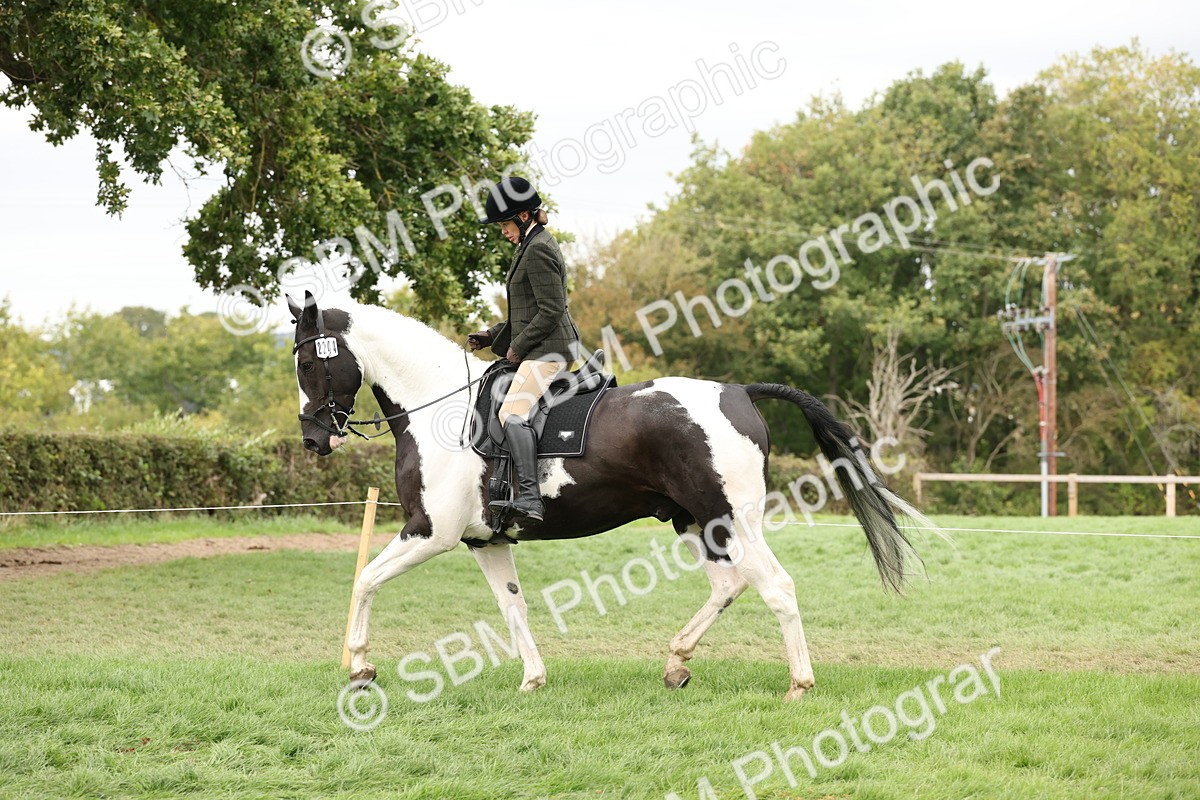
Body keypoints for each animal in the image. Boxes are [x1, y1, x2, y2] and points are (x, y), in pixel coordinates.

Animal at [287, 291, 938, 701]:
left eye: (311, 366)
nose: (314, 439)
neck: (439, 409)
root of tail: (736, 391)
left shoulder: (429, 532)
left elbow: (364, 580)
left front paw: (361, 667)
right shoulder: (483, 541)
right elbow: (514, 607)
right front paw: (533, 681)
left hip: (731, 518)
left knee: (775, 587)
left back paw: (798, 686)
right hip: (696, 522)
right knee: (728, 585)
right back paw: (676, 663)